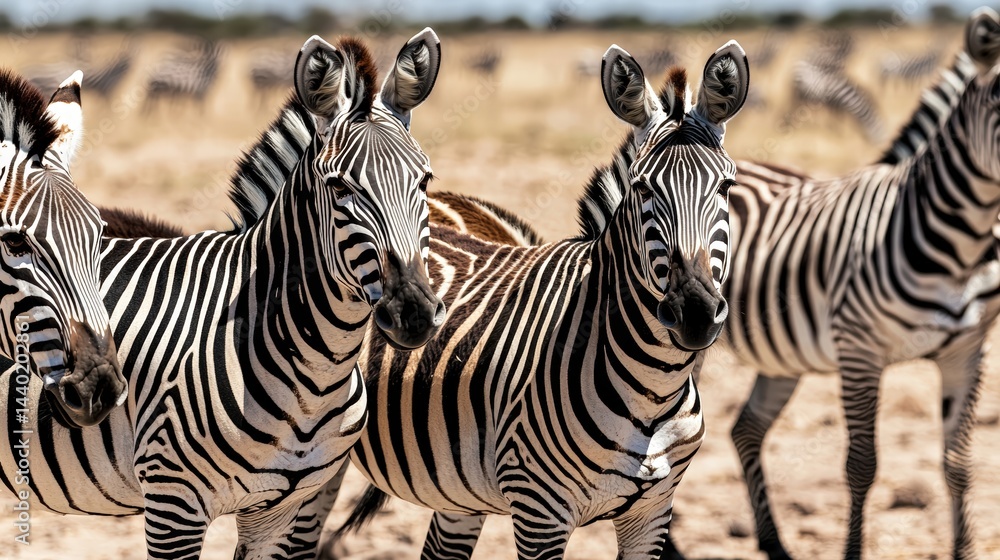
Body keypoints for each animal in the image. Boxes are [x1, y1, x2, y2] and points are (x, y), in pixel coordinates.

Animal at [303, 41, 750, 560]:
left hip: (457, 488)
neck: (654, 390)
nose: (695, 312)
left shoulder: (652, 513)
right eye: (642, 189)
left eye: (726, 187)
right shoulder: (540, 511)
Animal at [577, 9, 1000, 560]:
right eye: (998, 102)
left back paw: (773, 542)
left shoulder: (966, 351)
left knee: (745, 429)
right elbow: (862, 464)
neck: (957, 241)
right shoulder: (859, 348)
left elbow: (957, 463)